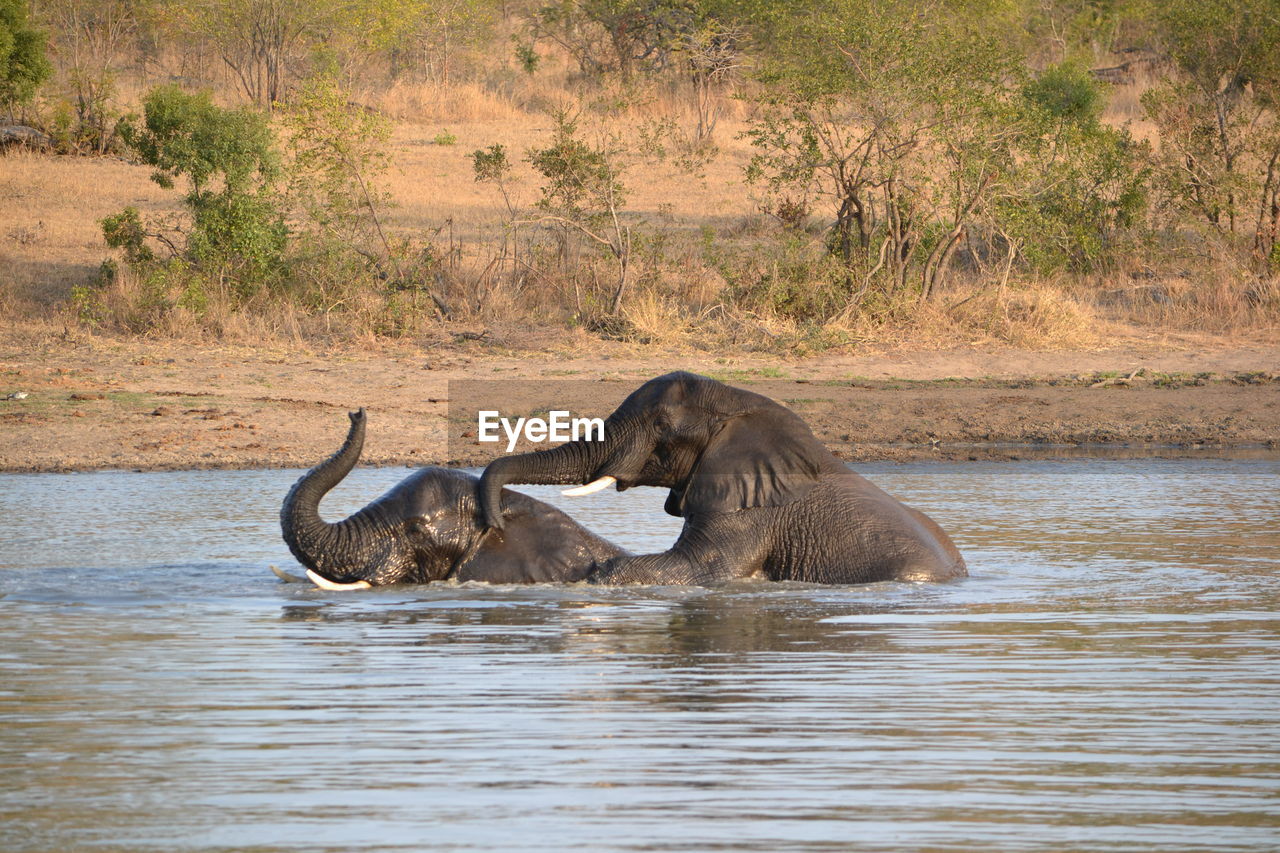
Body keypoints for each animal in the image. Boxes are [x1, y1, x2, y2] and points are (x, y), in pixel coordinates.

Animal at [481, 368, 962, 581]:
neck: (738, 402)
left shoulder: (751, 512)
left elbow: (697, 568)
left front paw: (596, 575)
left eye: (660, 426)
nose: (496, 521)